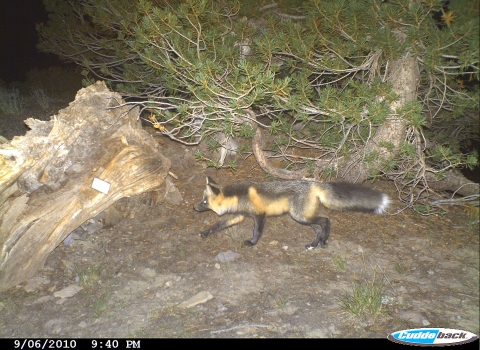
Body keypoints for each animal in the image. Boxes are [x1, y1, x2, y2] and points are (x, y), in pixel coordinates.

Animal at [193, 178, 388, 249]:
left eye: (204, 202)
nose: (195, 208)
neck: (237, 196)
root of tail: (314, 182)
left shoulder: (260, 215)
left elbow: (257, 232)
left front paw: (252, 243)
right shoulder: (237, 216)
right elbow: (217, 225)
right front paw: (205, 233)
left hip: (299, 216)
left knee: (326, 220)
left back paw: (324, 241)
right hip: (303, 217)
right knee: (319, 226)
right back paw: (314, 244)